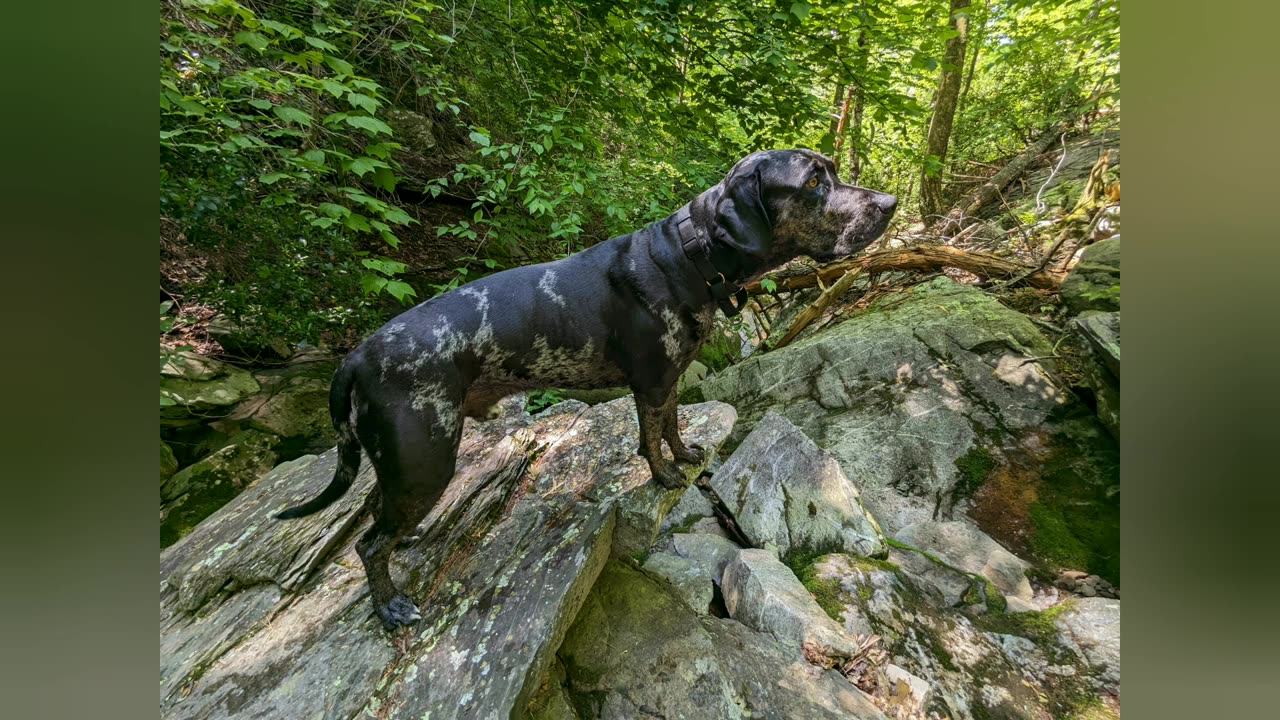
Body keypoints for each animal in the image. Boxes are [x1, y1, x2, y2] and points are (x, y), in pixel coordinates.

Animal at [277, 148, 901, 625]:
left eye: (832, 170)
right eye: (815, 181)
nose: (891, 204)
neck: (689, 256)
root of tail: (357, 355)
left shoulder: (670, 381)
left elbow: (672, 426)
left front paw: (685, 456)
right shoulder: (649, 383)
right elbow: (650, 440)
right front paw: (664, 475)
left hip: (401, 465)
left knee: (376, 519)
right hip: (425, 459)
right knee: (368, 542)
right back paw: (390, 605)